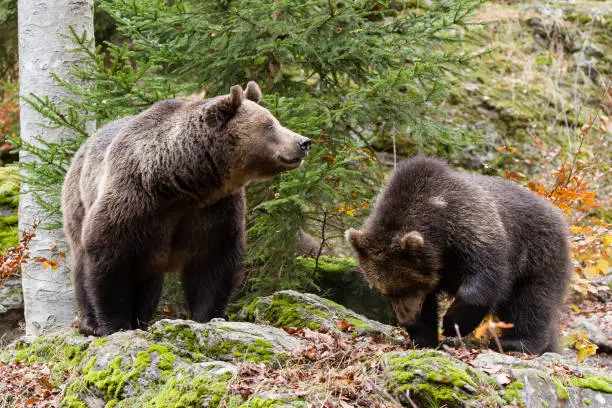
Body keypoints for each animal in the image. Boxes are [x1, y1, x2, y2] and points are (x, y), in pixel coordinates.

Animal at [62, 81, 310, 336]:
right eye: (269, 125)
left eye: (276, 121)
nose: (304, 142)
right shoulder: (134, 201)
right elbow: (109, 259)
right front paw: (114, 325)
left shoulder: (213, 210)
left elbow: (213, 263)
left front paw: (207, 316)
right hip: (79, 201)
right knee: (82, 263)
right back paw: (91, 322)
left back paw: (141, 319)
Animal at [346, 156, 572, 354]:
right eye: (386, 292)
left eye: (408, 286)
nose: (406, 319)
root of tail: (556, 213)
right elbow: (428, 304)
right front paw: (423, 337)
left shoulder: (469, 226)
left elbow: (485, 277)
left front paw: (451, 323)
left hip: (537, 253)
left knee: (530, 300)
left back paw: (517, 342)